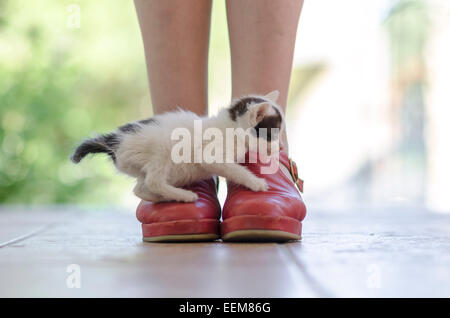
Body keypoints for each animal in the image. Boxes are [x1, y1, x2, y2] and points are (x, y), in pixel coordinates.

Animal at [71, 90, 284, 202]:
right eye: (273, 134)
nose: (279, 148)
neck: (229, 128)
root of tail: (113, 139)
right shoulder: (209, 155)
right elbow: (235, 170)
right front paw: (256, 182)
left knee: (139, 189)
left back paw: (163, 198)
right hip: (162, 149)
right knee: (153, 181)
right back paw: (184, 195)